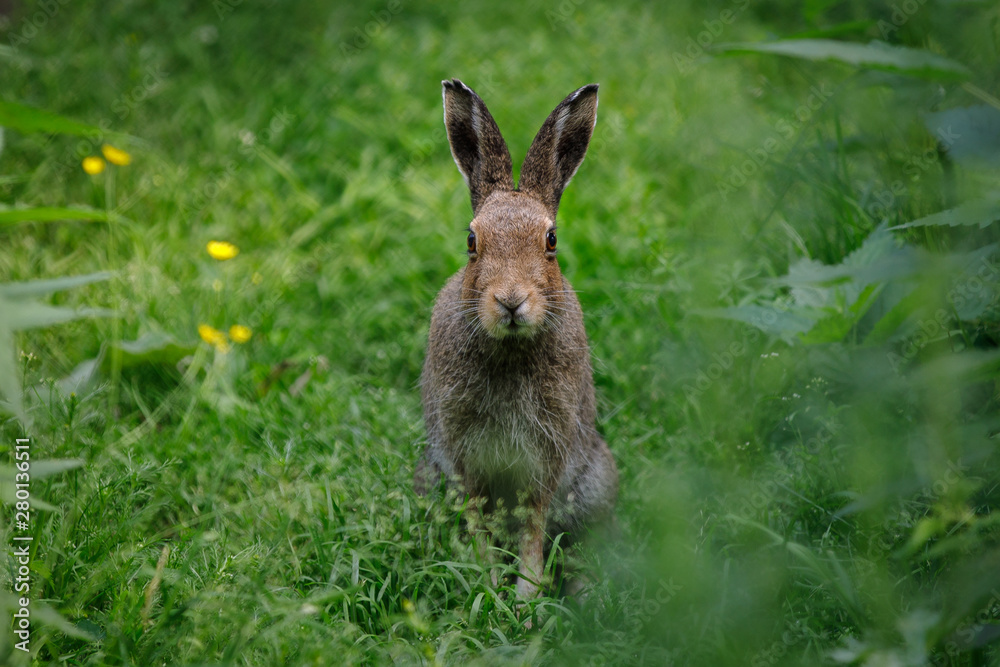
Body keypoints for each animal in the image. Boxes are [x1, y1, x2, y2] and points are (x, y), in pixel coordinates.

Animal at [415, 79, 619, 599]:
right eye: (471, 241)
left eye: (551, 241)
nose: (510, 301)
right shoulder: (463, 455)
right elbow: (479, 523)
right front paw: (490, 588)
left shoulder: (549, 453)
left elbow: (533, 524)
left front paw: (525, 598)